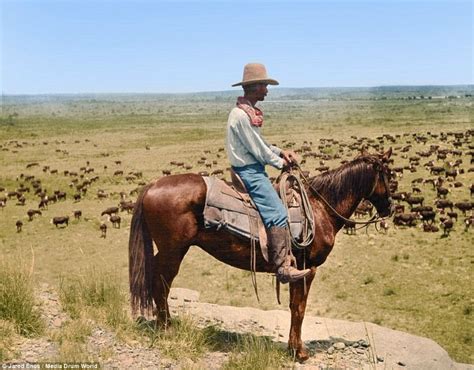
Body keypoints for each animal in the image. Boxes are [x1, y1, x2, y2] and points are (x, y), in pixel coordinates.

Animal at [129, 148, 392, 362]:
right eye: (388, 175)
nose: (389, 208)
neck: (320, 209)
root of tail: (152, 186)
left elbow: (294, 307)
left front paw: (293, 348)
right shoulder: (307, 270)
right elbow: (299, 308)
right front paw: (299, 352)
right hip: (173, 251)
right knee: (161, 285)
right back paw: (167, 329)